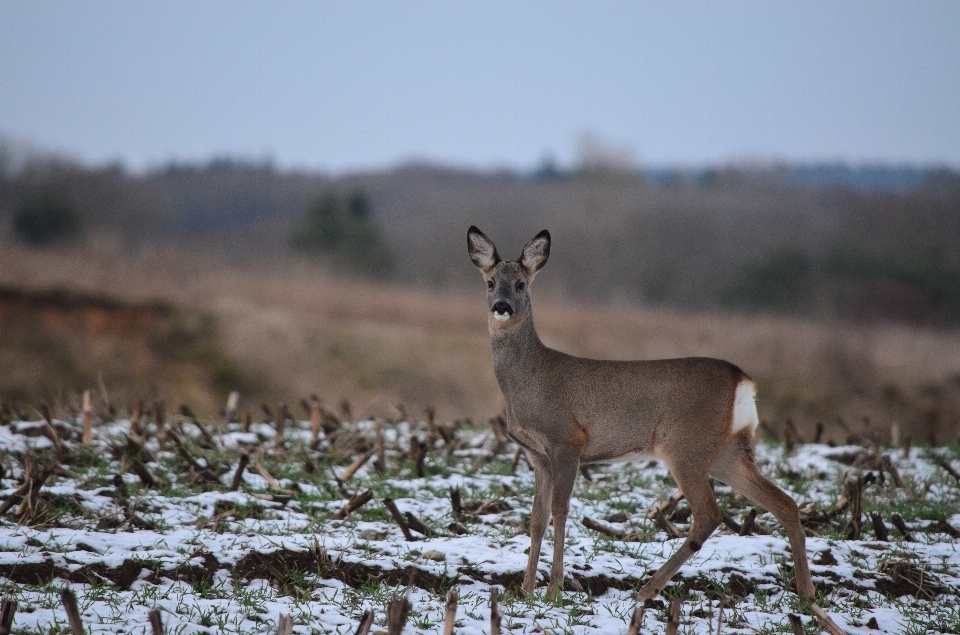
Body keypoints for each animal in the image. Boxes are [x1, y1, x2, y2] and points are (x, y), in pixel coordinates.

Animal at [464, 226, 824, 612]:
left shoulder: (567, 441)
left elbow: (560, 510)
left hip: (685, 446)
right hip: (725, 453)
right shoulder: (536, 454)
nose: (501, 307)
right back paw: (807, 595)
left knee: (709, 514)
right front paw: (525, 590)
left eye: (520, 284)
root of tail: (743, 380)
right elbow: (536, 518)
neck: (530, 380)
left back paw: (648, 589)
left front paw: (553, 589)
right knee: (784, 502)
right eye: (490, 282)